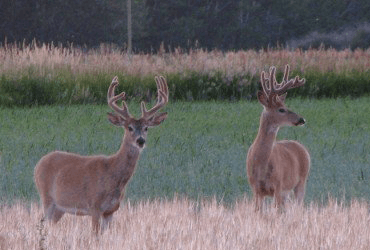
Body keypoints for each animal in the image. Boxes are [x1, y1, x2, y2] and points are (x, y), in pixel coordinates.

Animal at [34, 75, 168, 233]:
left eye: (146, 128)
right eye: (129, 127)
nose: (140, 141)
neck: (113, 174)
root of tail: (38, 164)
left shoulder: (111, 210)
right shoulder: (94, 206)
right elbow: (94, 234)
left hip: (60, 208)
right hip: (47, 198)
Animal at [247, 65, 310, 211]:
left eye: (285, 106)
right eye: (281, 109)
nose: (302, 119)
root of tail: (302, 147)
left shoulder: (278, 185)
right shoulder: (255, 189)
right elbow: (258, 212)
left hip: (301, 180)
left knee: (299, 206)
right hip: (286, 192)